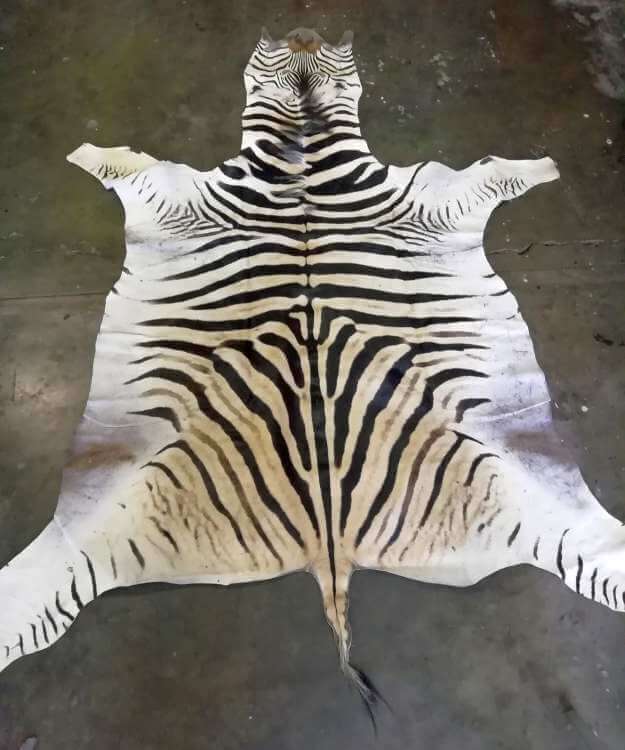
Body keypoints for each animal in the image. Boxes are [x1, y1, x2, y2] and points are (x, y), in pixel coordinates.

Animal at [1, 27, 622, 713]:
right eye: (277, 48)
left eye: (323, 51)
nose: (302, 32)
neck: (303, 153)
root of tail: (330, 550)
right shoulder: (179, 196)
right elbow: (121, 165)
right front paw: (85, 151)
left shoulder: (431, 199)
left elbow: (496, 174)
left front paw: (543, 167)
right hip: (111, 511)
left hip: (530, 492)